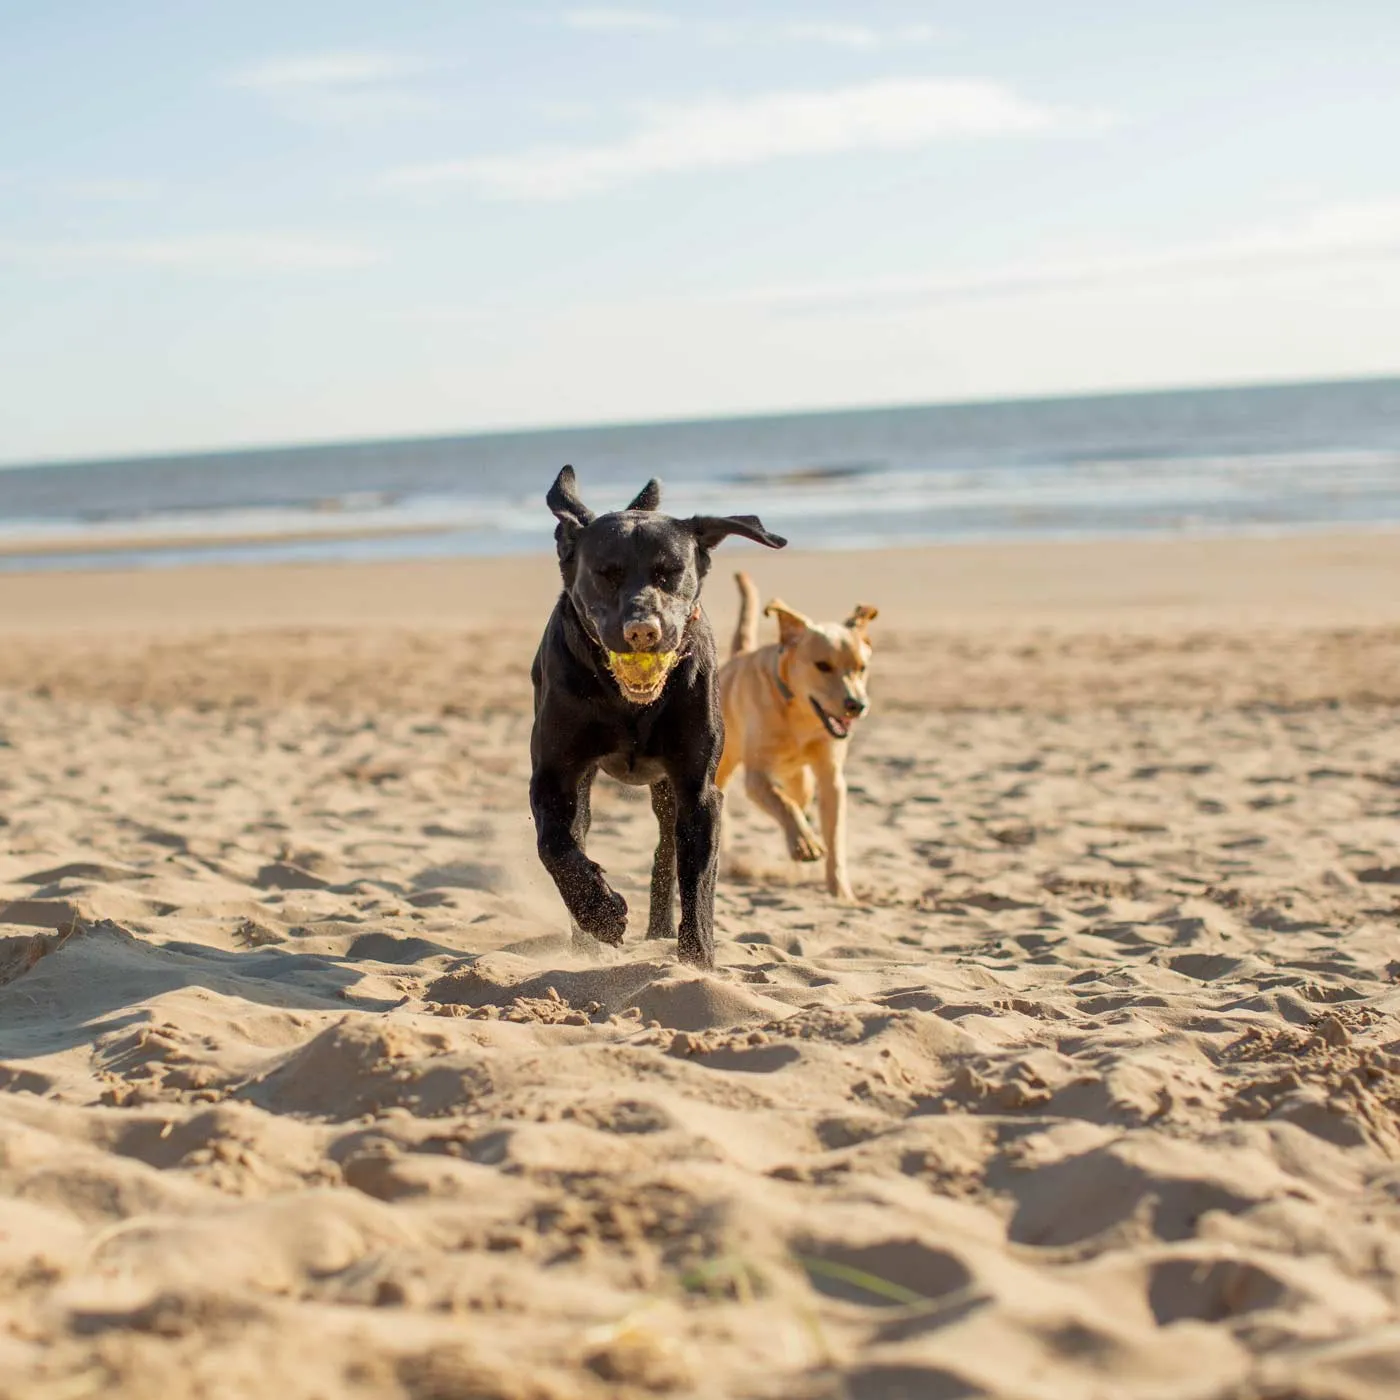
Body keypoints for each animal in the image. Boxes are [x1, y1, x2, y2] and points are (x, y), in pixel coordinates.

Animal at [526, 464, 789, 968]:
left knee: (667, 853)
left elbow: (697, 883)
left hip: (667, 793)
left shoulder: (698, 790)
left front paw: (698, 962)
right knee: (579, 835)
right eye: (606, 574)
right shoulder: (554, 774)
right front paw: (600, 913)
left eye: (672, 572)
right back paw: (585, 939)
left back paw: (659, 928)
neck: (627, 703)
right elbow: (555, 845)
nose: (643, 630)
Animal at [722, 574, 873, 901]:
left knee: (800, 796)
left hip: (799, 778)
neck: (798, 714)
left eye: (861, 668)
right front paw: (805, 845)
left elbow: (834, 837)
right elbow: (783, 804)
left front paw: (840, 891)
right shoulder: (756, 776)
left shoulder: (831, 779)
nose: (857, 705)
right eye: (823, 665)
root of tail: (737, 656)